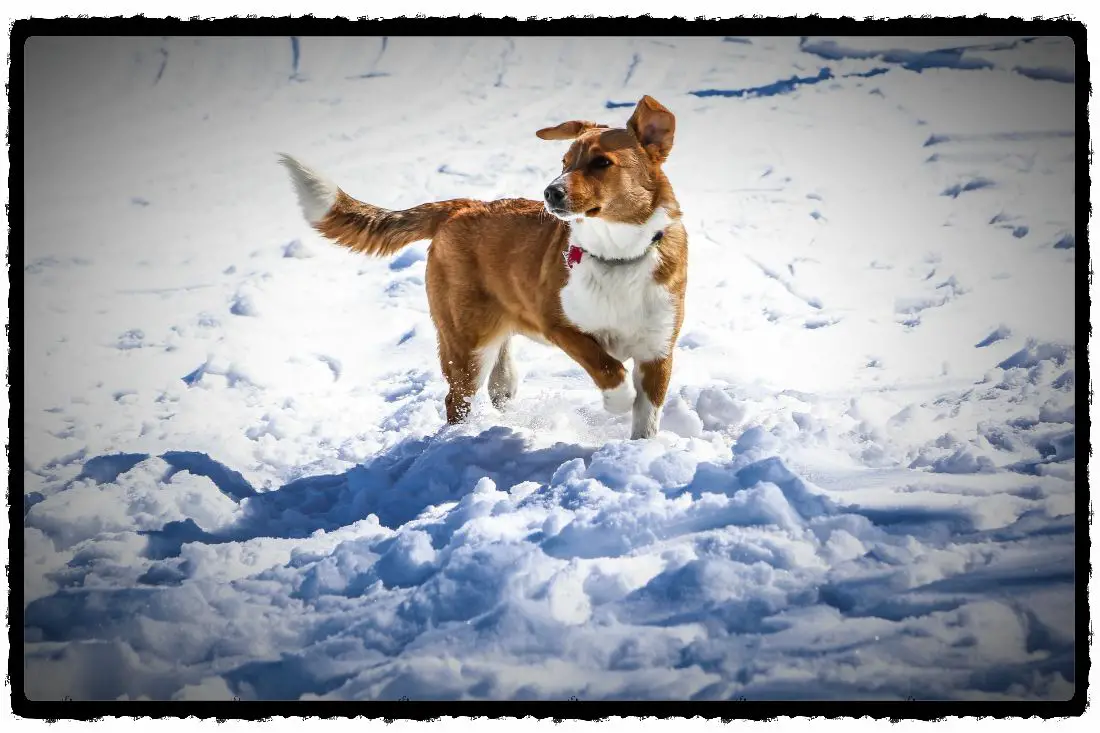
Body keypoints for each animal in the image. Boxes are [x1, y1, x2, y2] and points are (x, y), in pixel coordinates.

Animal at [279, 94, 682, 435]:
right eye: (564, 163)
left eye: (602, 163)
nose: (550, 192)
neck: (617, 254)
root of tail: (461, 206)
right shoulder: (560, 324)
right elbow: (607, 367)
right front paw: (618, 401)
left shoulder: (658, 352)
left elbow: (647, 415)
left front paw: (639, 450)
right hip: (467, 342)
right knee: (457, 399)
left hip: (495, 344)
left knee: (498, 384)